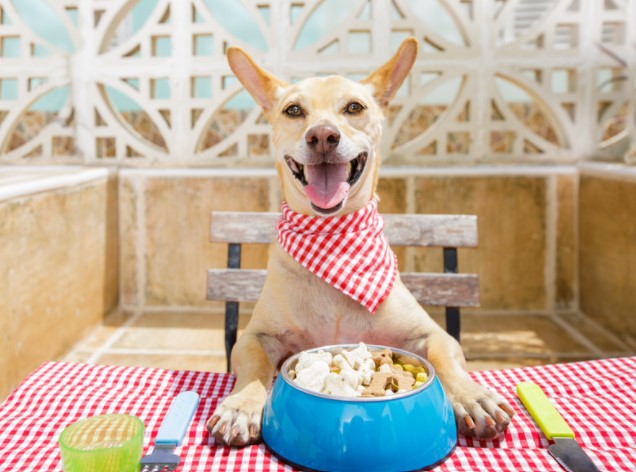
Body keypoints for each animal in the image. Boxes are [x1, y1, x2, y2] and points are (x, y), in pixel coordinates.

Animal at [206, 37, 516, 446]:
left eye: (354, 107)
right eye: (293, 110)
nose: (322, 136)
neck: (333, 241)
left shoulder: (432, 334)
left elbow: (446, 359)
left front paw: (472, 396)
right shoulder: (256, 337)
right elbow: (256, 366)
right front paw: (241, 404)